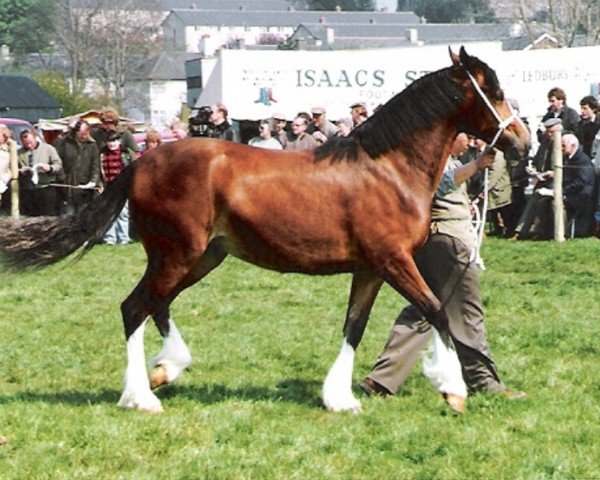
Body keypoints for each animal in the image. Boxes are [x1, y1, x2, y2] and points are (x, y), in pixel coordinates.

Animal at [0, 47, 528, 412]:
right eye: (497, 92)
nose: (521, 140)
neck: (387, 168)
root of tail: (142, 161)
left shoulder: (371, 269)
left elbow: (354, 327)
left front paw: (340, 399)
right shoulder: (394, 261)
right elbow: (437, 311)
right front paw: (453, 392)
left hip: (201, 256)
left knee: (157, 305)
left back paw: (166, 370)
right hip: (178, 253)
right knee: (135, 307)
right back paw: (142, 397)